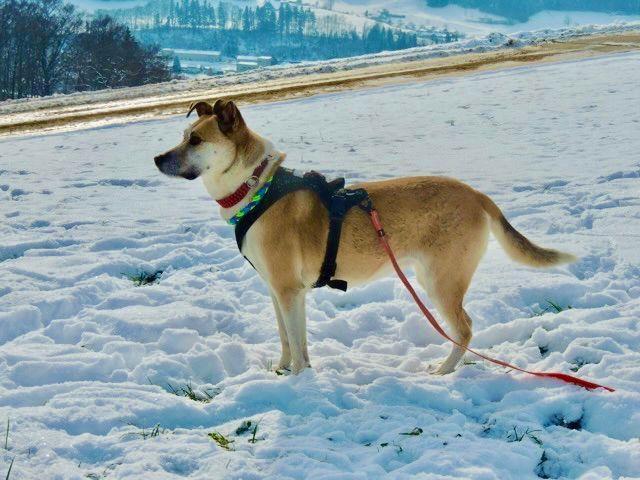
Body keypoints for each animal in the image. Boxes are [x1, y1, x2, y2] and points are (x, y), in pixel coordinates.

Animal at [154, 99, 576, 375]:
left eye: (195, 140)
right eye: (183, 135)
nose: (157, 159)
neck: (257, 187)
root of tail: (476, 194)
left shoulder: (288, 290)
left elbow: (298, 344)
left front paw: (298, 382)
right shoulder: (277, 290)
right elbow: (288, 340)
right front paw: (282, 371)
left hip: (440, 280)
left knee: (465, 328)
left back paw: (444, 371)